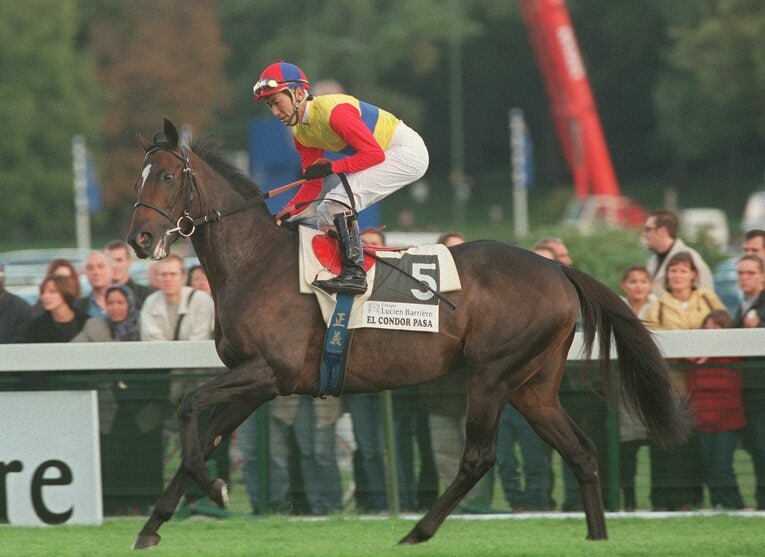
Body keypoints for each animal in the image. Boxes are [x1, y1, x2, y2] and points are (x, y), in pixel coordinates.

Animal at [127, 118, 689, 550]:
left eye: (169, 176)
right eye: (140, 179)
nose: (140, 240)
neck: (254, 263)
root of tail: (556, 268)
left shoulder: (271, 372)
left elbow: (189, 407)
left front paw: (215, 489)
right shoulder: (254, 382)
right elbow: (204, 435)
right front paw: (153, 526)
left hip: (491, 375)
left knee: (478, 458)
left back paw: (418, 531)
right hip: (534, 386)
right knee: (581, 451)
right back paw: (597, 537)